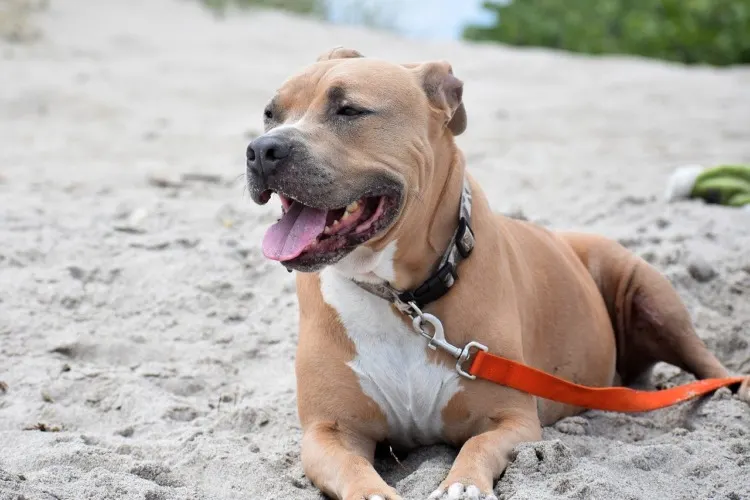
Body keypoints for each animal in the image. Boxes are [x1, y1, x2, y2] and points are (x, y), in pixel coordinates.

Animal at [245, 47, 748, 500]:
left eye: (349, 109)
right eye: (270, 114)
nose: (261, 149)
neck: (402, 297)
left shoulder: (514, 419)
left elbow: (479, 446)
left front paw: (462, 484)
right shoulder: (328, 432)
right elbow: (353, 469)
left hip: (645, 290)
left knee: (706, 361)